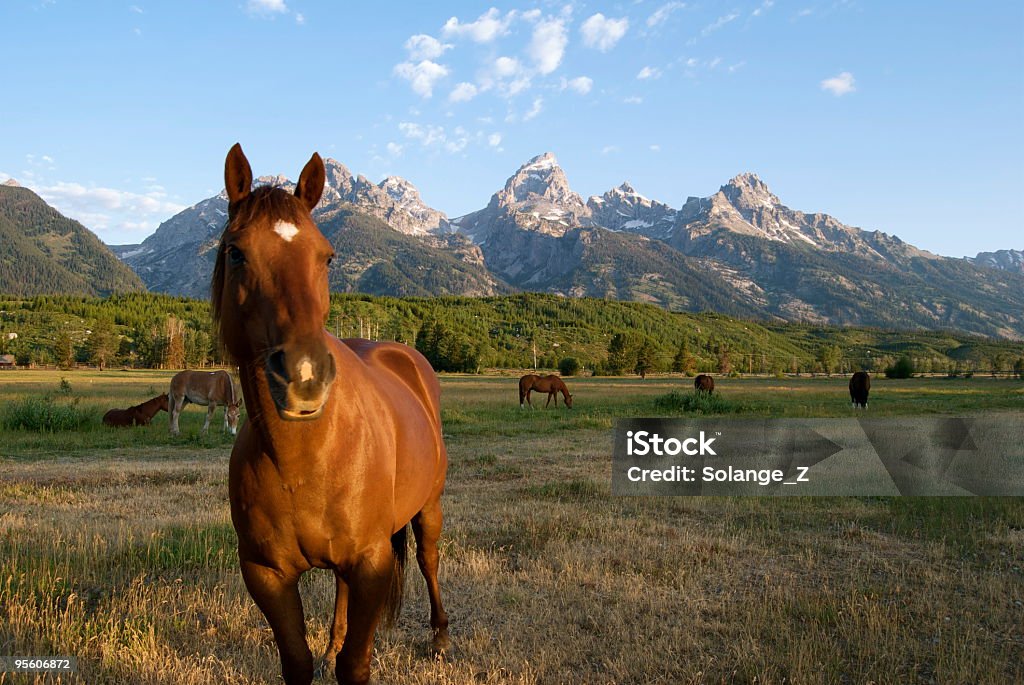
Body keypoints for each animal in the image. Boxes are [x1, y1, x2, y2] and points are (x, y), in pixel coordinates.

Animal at [211, 145, 448, 683]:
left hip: (429, 508)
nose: (304, 376)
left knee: (429, 561)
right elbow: (297, 663)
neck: (304, 460)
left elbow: (354, 666)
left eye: (327, 256)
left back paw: (441, 637)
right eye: (236, 252)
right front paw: (321, 653)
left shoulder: (372, 563)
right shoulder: (266, 575)